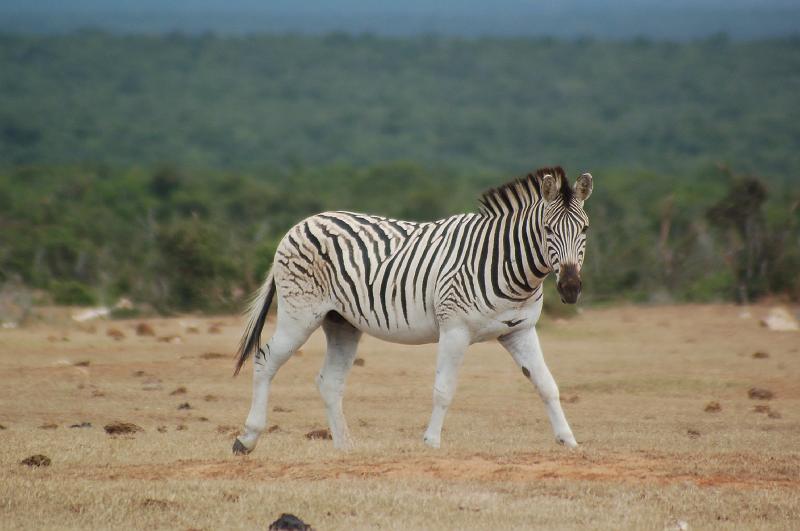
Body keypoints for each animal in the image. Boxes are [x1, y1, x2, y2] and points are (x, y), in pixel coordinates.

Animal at [232, 167, 593, 454]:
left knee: (329, 382)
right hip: (299, 315)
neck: (506, 264)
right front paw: (431, 442)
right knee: (264, 361)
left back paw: (345, 446)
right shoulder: (454, 329)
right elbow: (444, 390)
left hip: (341, 323)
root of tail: (301, 224)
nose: (571, 288)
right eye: (548, 230)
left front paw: (568, 440)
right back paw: (247, 439)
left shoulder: (519, 330)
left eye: (585, 229)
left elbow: (547, 385)